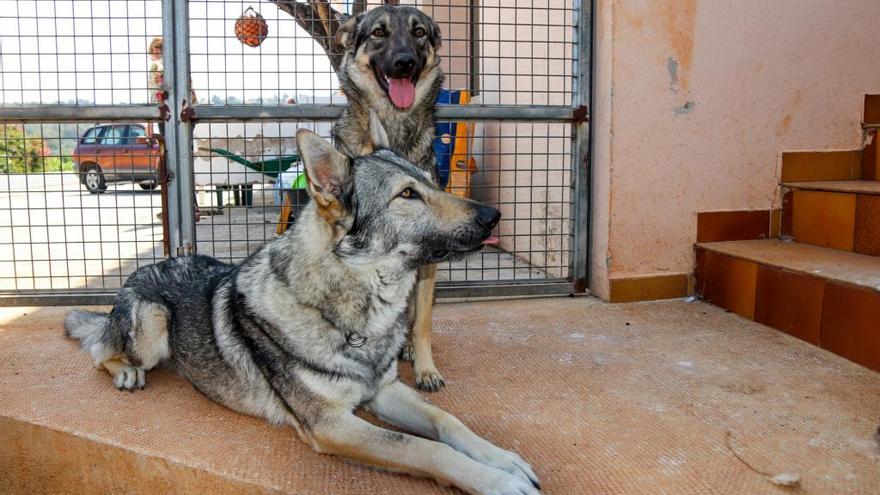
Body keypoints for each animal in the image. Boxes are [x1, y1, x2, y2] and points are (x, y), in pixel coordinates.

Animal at [65, 125, 540, 495]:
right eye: (408, 194)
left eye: (434, 182)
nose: (494, 215)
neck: (355, 312)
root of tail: (152, 264)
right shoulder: (332, 425)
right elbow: (425, 448)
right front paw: (497, 482)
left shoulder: (384, 391)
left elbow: (447, 422)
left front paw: (503, 460)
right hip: (151, 326)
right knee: (99, 350)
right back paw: (126, 372)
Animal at [332, 3, 474, 392]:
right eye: (379, 32)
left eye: (419, 32)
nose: (404, 62)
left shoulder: (427, 262)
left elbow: (422, 323)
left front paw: (426, 369)